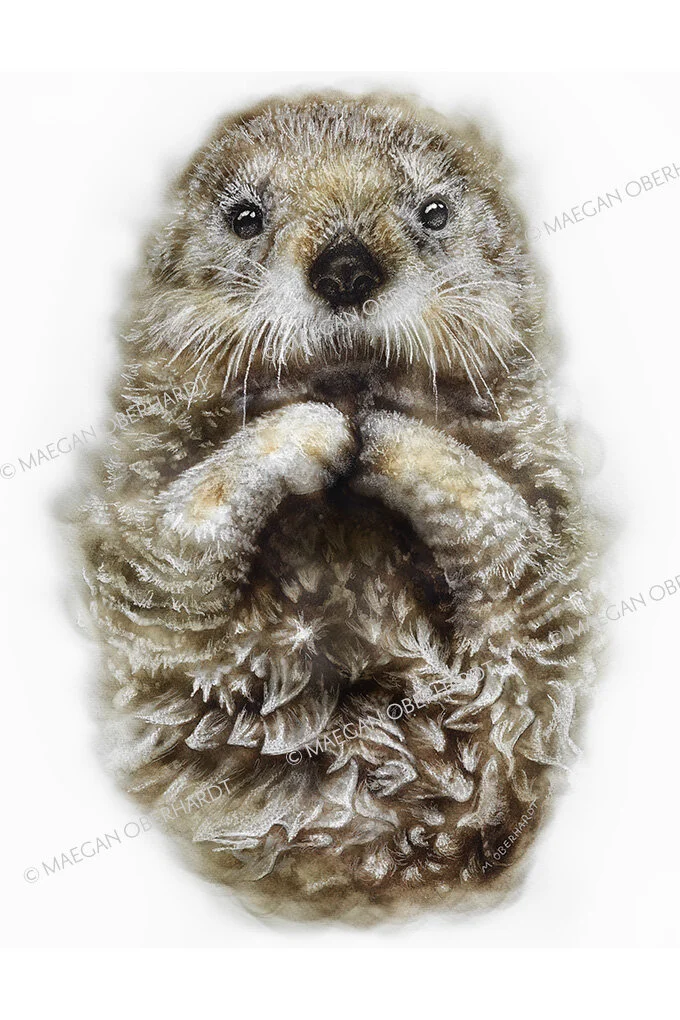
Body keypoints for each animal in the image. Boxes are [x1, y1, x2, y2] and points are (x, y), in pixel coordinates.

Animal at [71, 92, 599, 921]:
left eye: (434, 211)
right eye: (246, 217)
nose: (346, 269)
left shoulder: (540, 618)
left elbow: (515, 556)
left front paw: (383, 437)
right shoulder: (149, 597)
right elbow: (174, 549)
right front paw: (317, 430)